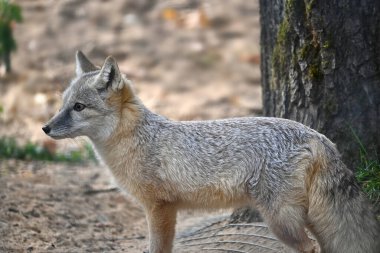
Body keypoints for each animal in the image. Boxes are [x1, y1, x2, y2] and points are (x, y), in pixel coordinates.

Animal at [43, 51, 380, 253]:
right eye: (62, 104)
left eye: (78, 107)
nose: (45, 128)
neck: (140, 139)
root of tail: (316, 135)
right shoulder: (164, 209)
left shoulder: (159, 207)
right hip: (305, 217)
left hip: (280, 219)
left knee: (308, 247)